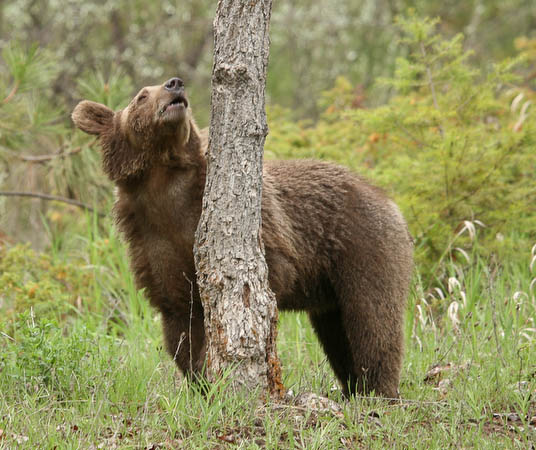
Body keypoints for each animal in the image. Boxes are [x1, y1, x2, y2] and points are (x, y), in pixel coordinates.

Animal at [72, 76, 414, 398]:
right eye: (142, 95)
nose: (174, 84)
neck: (165, 189)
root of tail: (388, 200)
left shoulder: (261, 225)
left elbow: (274, 271)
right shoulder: (154, 244)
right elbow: (181, 322)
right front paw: (202, 378)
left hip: (364, 246)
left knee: (372, 321)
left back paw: (379, 391)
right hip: (331, 287)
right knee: (337, 334)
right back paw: (353, 388)